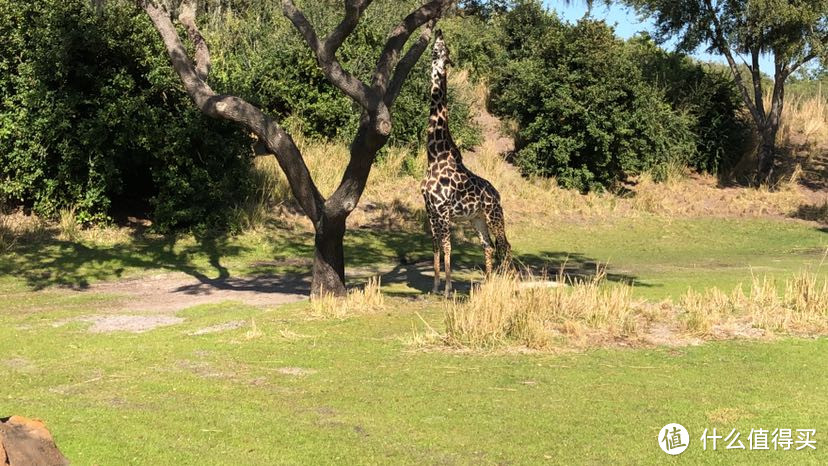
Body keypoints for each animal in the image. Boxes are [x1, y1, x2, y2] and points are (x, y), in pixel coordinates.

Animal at [424, 30, 508, 298]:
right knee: (488, 245)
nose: (438, 30)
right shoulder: (430, 211)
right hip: (477, 219)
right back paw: (488, 283)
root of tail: (497, 192)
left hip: (494, 214)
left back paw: (508, 281)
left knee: (505, 244)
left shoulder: (443, 211)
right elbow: (436, 247)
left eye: (444, 48)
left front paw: (448, 289)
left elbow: (447, 247)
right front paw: (435, 287)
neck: (434, 156)